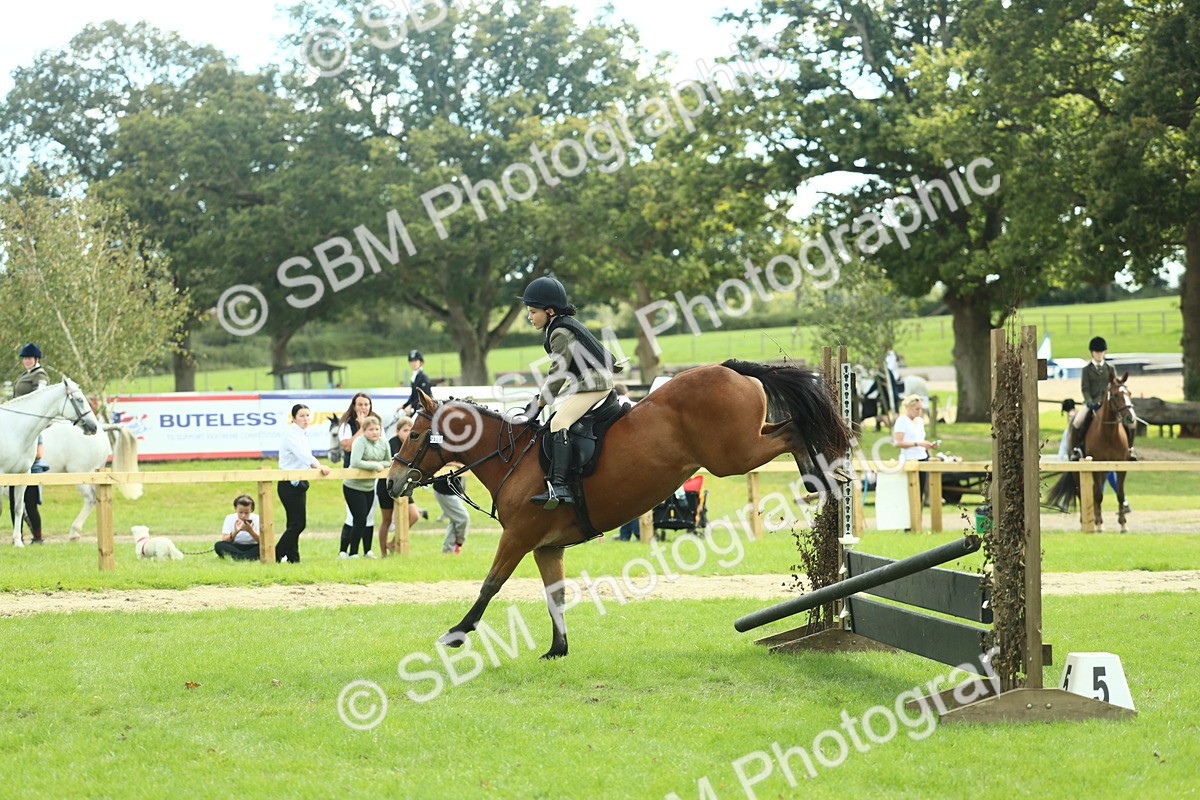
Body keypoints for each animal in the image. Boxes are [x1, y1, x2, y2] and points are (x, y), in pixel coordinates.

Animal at [0, 379, 101, 546]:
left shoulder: (22, 475)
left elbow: (18, 507)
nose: (94, 426)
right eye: (79, 400)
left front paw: (18, 542)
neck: (14, 430)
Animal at [387, 359, 852, 659]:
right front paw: (558, 649)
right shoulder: (546, 547)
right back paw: (827, 479)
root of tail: (731, 368)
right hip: (745, 441)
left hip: (733, 455)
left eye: (414, 435)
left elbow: (490, 585)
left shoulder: (518, 537)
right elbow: (555, 594)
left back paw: (823, 481)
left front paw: (456, 633)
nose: (391, 484)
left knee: (794, 431)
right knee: (790, 427)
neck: (511, 458)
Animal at [1046, 374, 1134, 532]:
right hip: (1079, 470)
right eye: (1115, 395)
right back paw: (1085, 522)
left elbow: (1119, 494)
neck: (1109, 433)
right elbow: (1098, 495)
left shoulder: (1121, 467)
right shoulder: (1094, 468)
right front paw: (1099, 524)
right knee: (1081, 492)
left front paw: (1123, 524)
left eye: (1129, 394)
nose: (1130, 418)